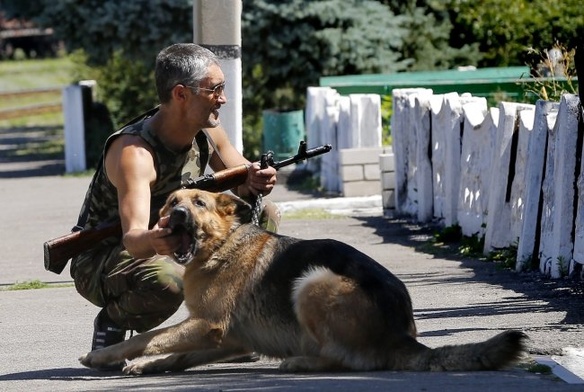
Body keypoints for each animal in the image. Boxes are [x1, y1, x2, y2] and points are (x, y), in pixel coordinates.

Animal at [78, 189, 528, 374]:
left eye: (199, 203)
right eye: (172, 203)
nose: (177, 216)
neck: (221, 246)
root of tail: (402, 334)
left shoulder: (207, 324)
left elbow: (146, 337)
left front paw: (105, 356)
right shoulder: (229, 338)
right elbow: (174, 352)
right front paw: (148, 365)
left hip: (314, 281)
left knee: (352, 361)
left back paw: (302, 362)